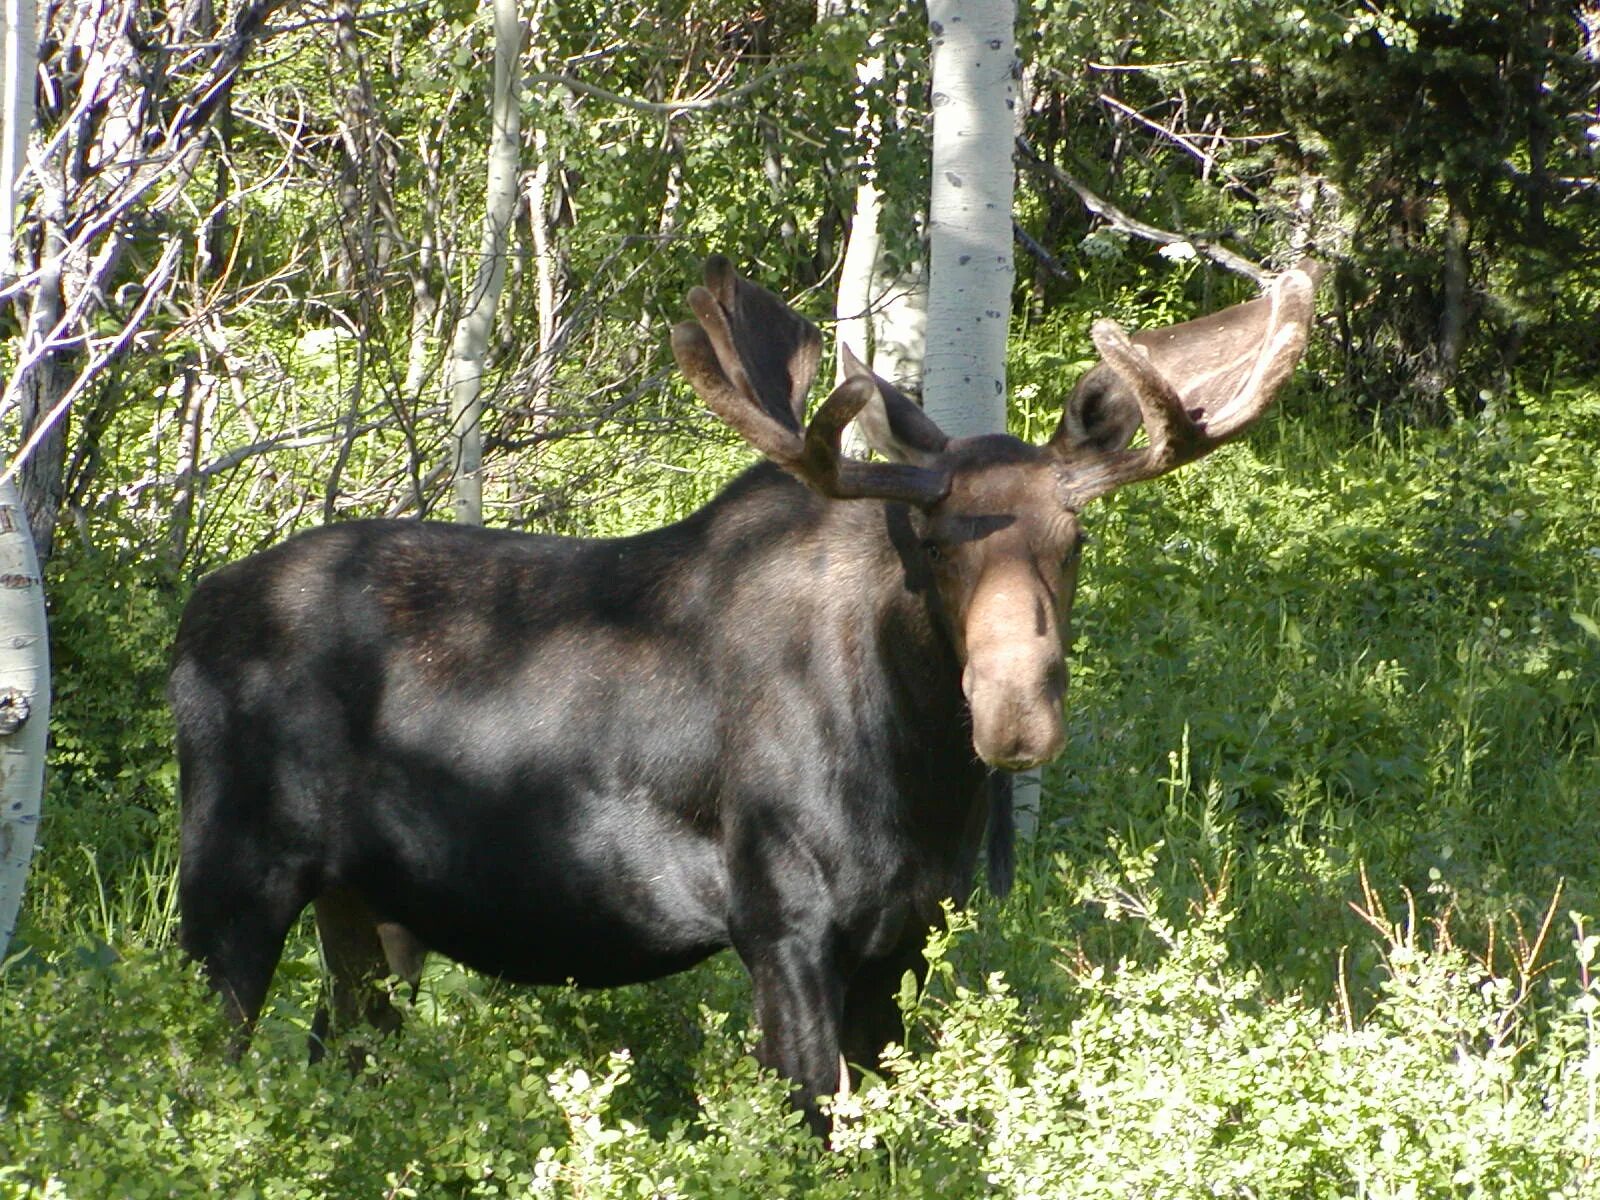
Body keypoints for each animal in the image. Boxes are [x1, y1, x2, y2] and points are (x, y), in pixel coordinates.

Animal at [175, 251, 1318, 1126]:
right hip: (233, 881)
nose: (1015, 715)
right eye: (932, 542)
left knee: (337, 1059)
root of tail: (189, 620)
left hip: (372, 912)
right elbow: (822, 1122)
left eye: (1073, 540)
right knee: (193, 1060)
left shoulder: (907, 935)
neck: (916, 772)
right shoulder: (781, 925)